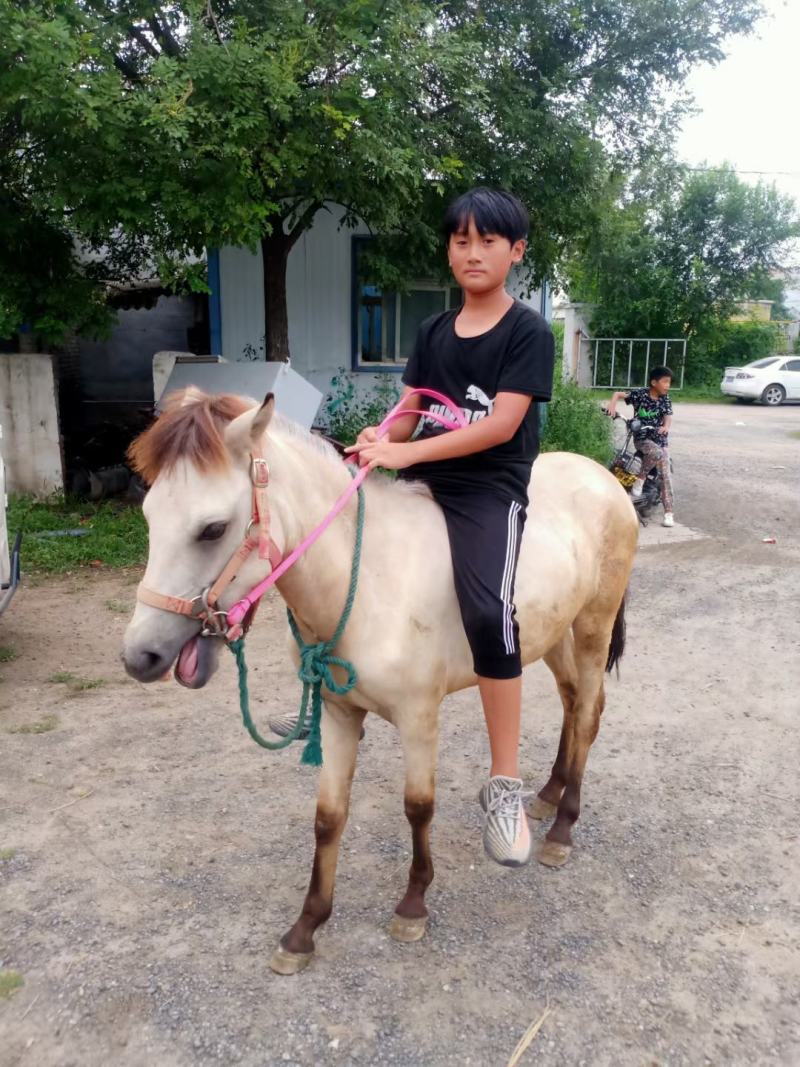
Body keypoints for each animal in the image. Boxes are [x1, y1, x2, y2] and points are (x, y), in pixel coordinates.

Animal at [122, 388, 638, 975]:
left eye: (211, 529)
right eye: (149, 514)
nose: (141, 655)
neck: (369, 579)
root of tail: (603, 479)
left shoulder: (419, 718)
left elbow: (418, 808)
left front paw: (413, 905)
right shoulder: (339, 713)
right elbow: (328, 817)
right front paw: (305, 929)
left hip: (592, 624)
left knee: (590, 711)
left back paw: (562, 829)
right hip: (548, 635)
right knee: (574, 701)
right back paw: (549, 794)